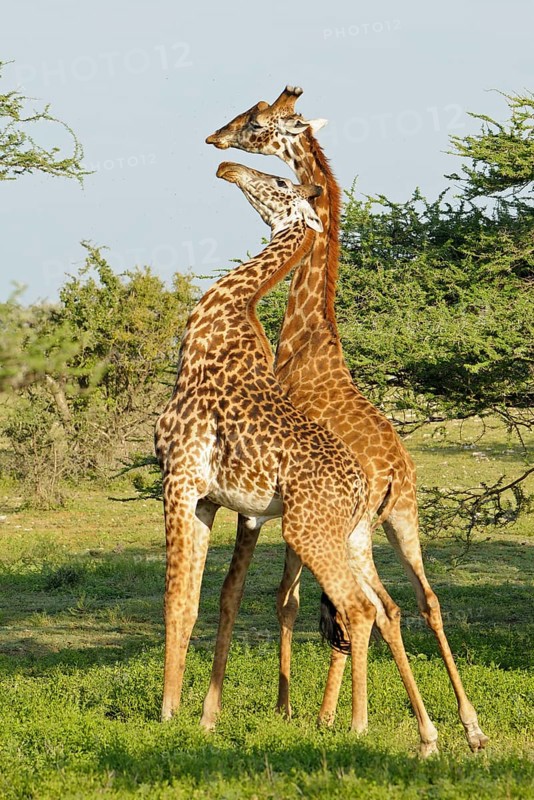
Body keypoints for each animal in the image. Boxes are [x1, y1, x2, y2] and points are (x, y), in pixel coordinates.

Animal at [156, 160, 438, 755]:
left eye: (281, 182)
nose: (226, 166)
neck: (212, 325)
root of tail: (365, 485)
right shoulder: (208, 499)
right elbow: (195, 600)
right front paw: (194, 713)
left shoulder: (180, 479)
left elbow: (180, 598)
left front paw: (170, 714)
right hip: (354, 534)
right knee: (392, 607)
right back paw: (432, 734)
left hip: (307, 531)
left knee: (359, 608)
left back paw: (358, 726)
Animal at [204, 86, 488, 752]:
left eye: (256, 124)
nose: (216, 144)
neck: (309, 337)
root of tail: (393, 472)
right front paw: (318, 712)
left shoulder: (270, 508)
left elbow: (279, 600)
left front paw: (291, 710)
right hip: (402, 519)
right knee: (421, 601)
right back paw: (463, 727)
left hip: (358, 525)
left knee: (373, 607)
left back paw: (383, 723)